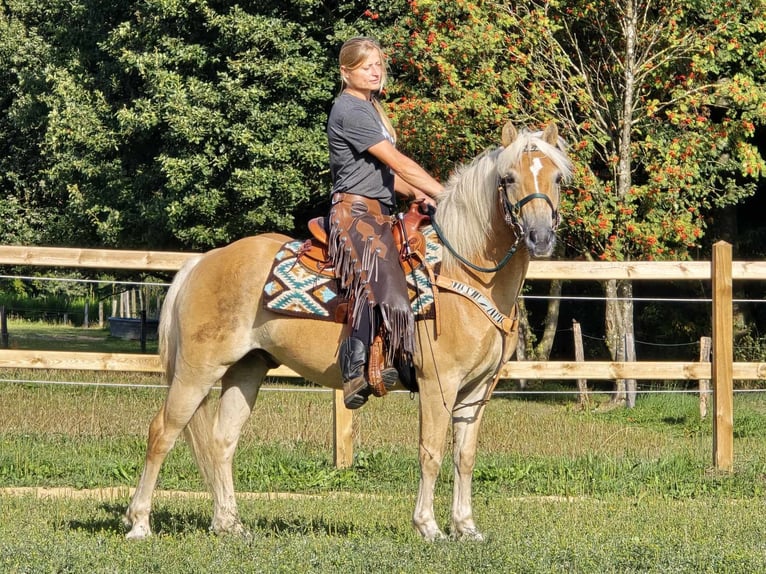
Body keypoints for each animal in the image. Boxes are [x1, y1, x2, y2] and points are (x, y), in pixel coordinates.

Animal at [123, 121, 572, 544]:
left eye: (556, 178)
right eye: (508, 178)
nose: (540, 236)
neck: (460, 272)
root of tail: (202, 262)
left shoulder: (476, 391)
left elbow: (465, 457)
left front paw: (465, 527)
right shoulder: (437, 384)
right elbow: (431, 453)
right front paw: (428, 526)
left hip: (247, 370)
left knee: (221, 441)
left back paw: (229, 524)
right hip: (196, 371)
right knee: (162, 432)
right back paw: (140, 523)